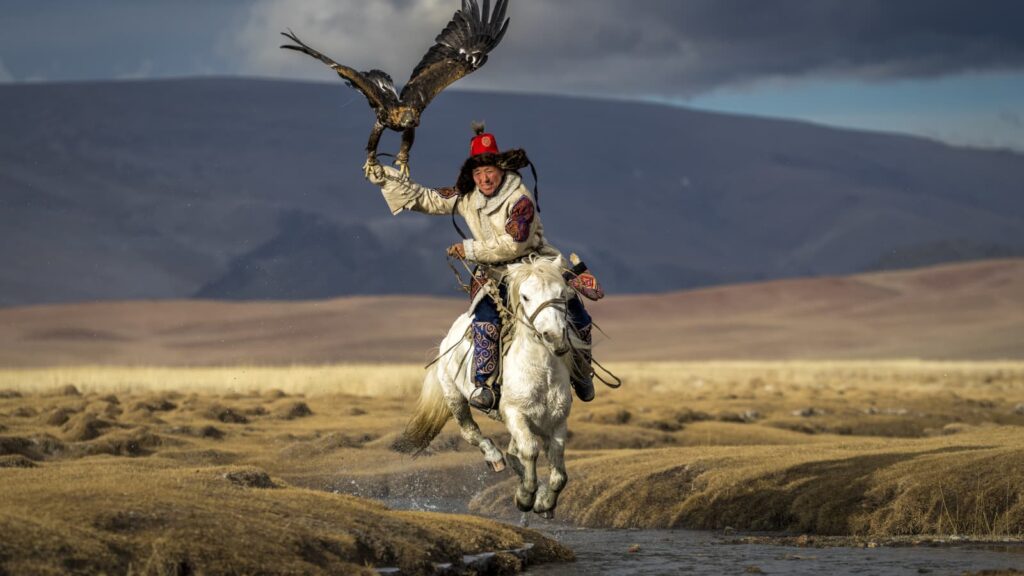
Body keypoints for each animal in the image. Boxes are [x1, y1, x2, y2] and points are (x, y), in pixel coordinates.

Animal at [395, 255, 581, 516]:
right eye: (525, 296)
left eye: (562, 293)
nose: (554, 337)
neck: (541, 373)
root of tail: (447, 339)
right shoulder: (515, 414)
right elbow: (530, 451)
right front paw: (525, 497)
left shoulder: (557, 422)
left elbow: (559, 474)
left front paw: (544, 502)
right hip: (455, 397)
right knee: (472, 433)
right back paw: (494, 458)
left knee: (513, 453)